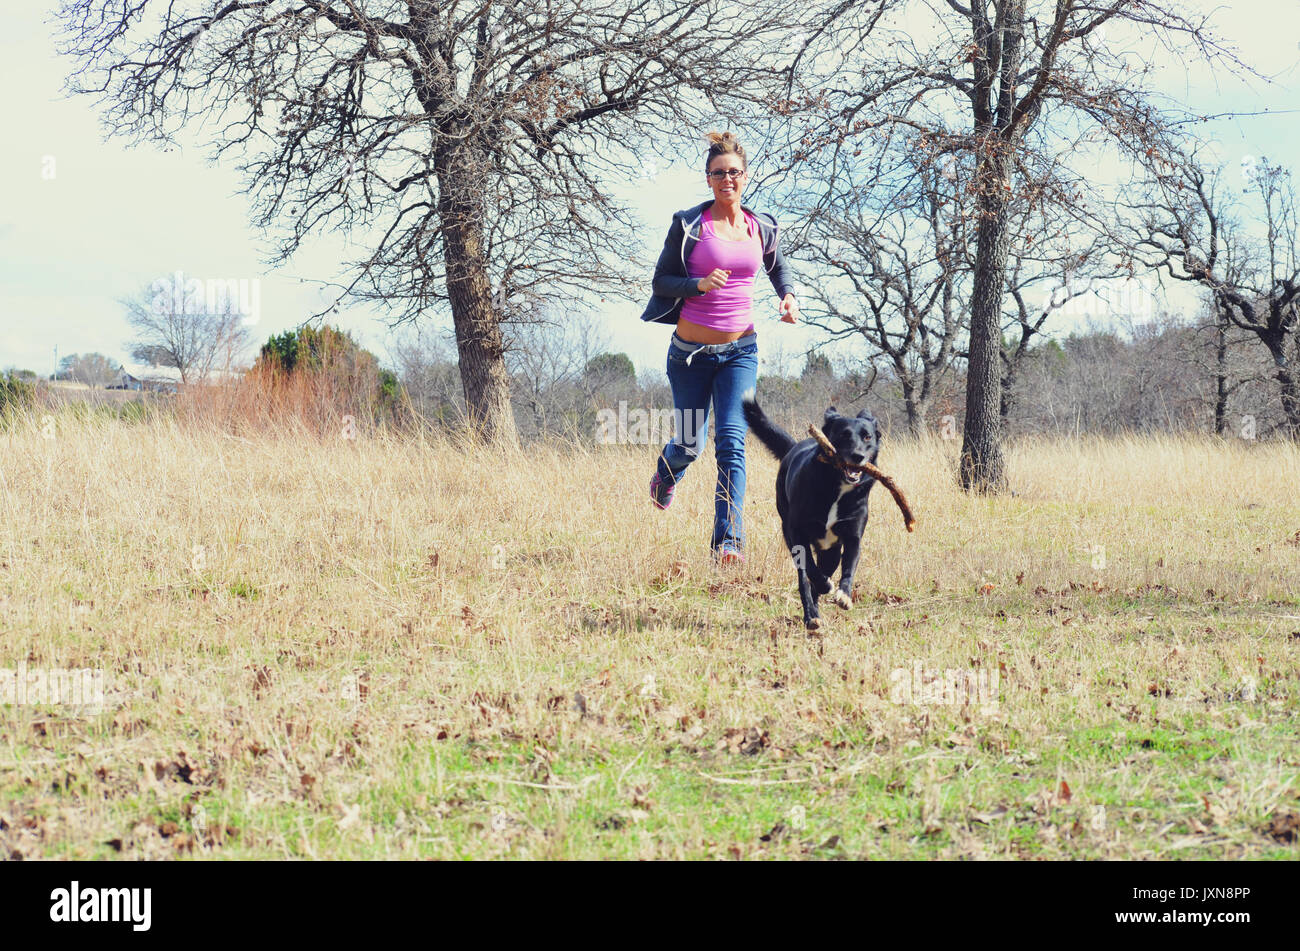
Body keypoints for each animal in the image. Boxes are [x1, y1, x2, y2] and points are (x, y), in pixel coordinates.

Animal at [743, 394, 883, 631]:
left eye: (867, 437)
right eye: (843, 435)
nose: (858, 456)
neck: (837, 487)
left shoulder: (852, 537)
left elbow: (850, 566)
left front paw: (844, 595)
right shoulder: (797, 534)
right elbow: (809, 569)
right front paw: (824, 585)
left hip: (831, 552)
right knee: (804, 579)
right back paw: (811, 615)